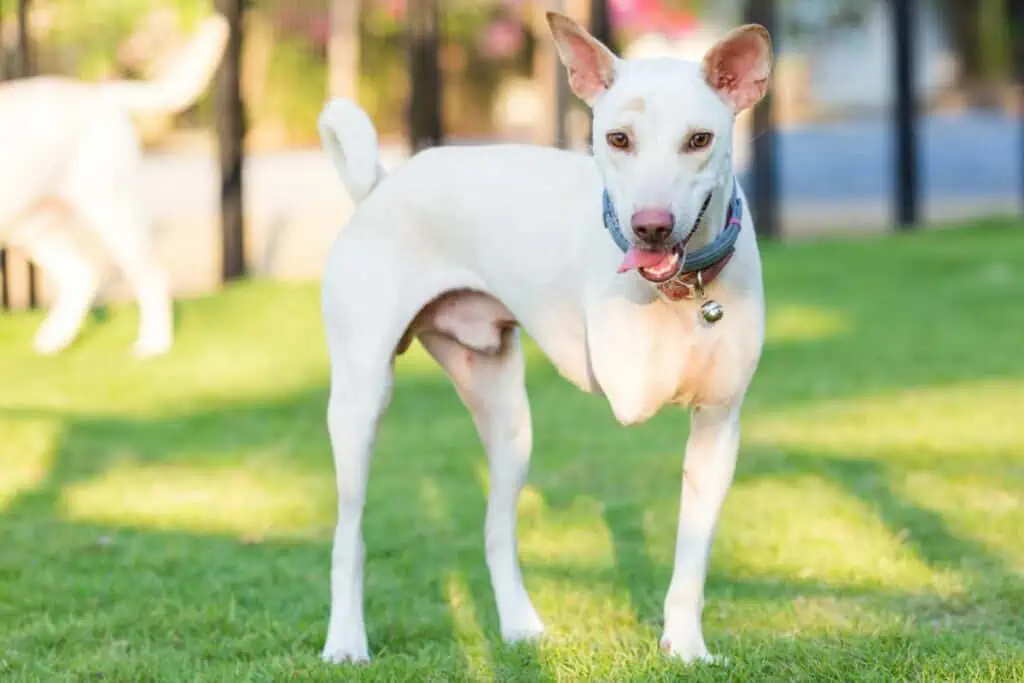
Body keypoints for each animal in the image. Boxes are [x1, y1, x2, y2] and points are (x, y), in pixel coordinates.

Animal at [0, 14, 228, 358]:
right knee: (80, 275)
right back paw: (56, 339)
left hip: (113, 211)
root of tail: (100, 95)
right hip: (31, 225)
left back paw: (154, 344)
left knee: (153, 277)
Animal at [315, 10, 770, 663]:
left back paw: (518, 627)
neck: (688, 287)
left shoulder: (718, 422)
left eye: (699, 139)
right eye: (618, 139)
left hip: (509, 420)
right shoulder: (628, 385)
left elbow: (692, 554)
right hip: (359, 404)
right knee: (349, 535)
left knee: (496, 531)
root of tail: (378, 186)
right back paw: (347, 641)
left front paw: (684, 644)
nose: (650, 228)